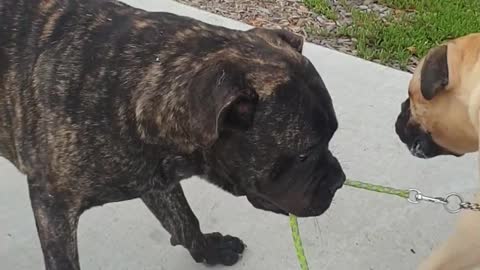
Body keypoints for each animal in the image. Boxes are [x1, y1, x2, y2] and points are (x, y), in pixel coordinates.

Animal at [0, 1, 344, 268]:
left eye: (333, 135)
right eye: (304, 153)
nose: (339, 181)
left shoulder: (154, 177)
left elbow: (183, 217)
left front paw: (207, 249)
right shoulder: (53, 207)